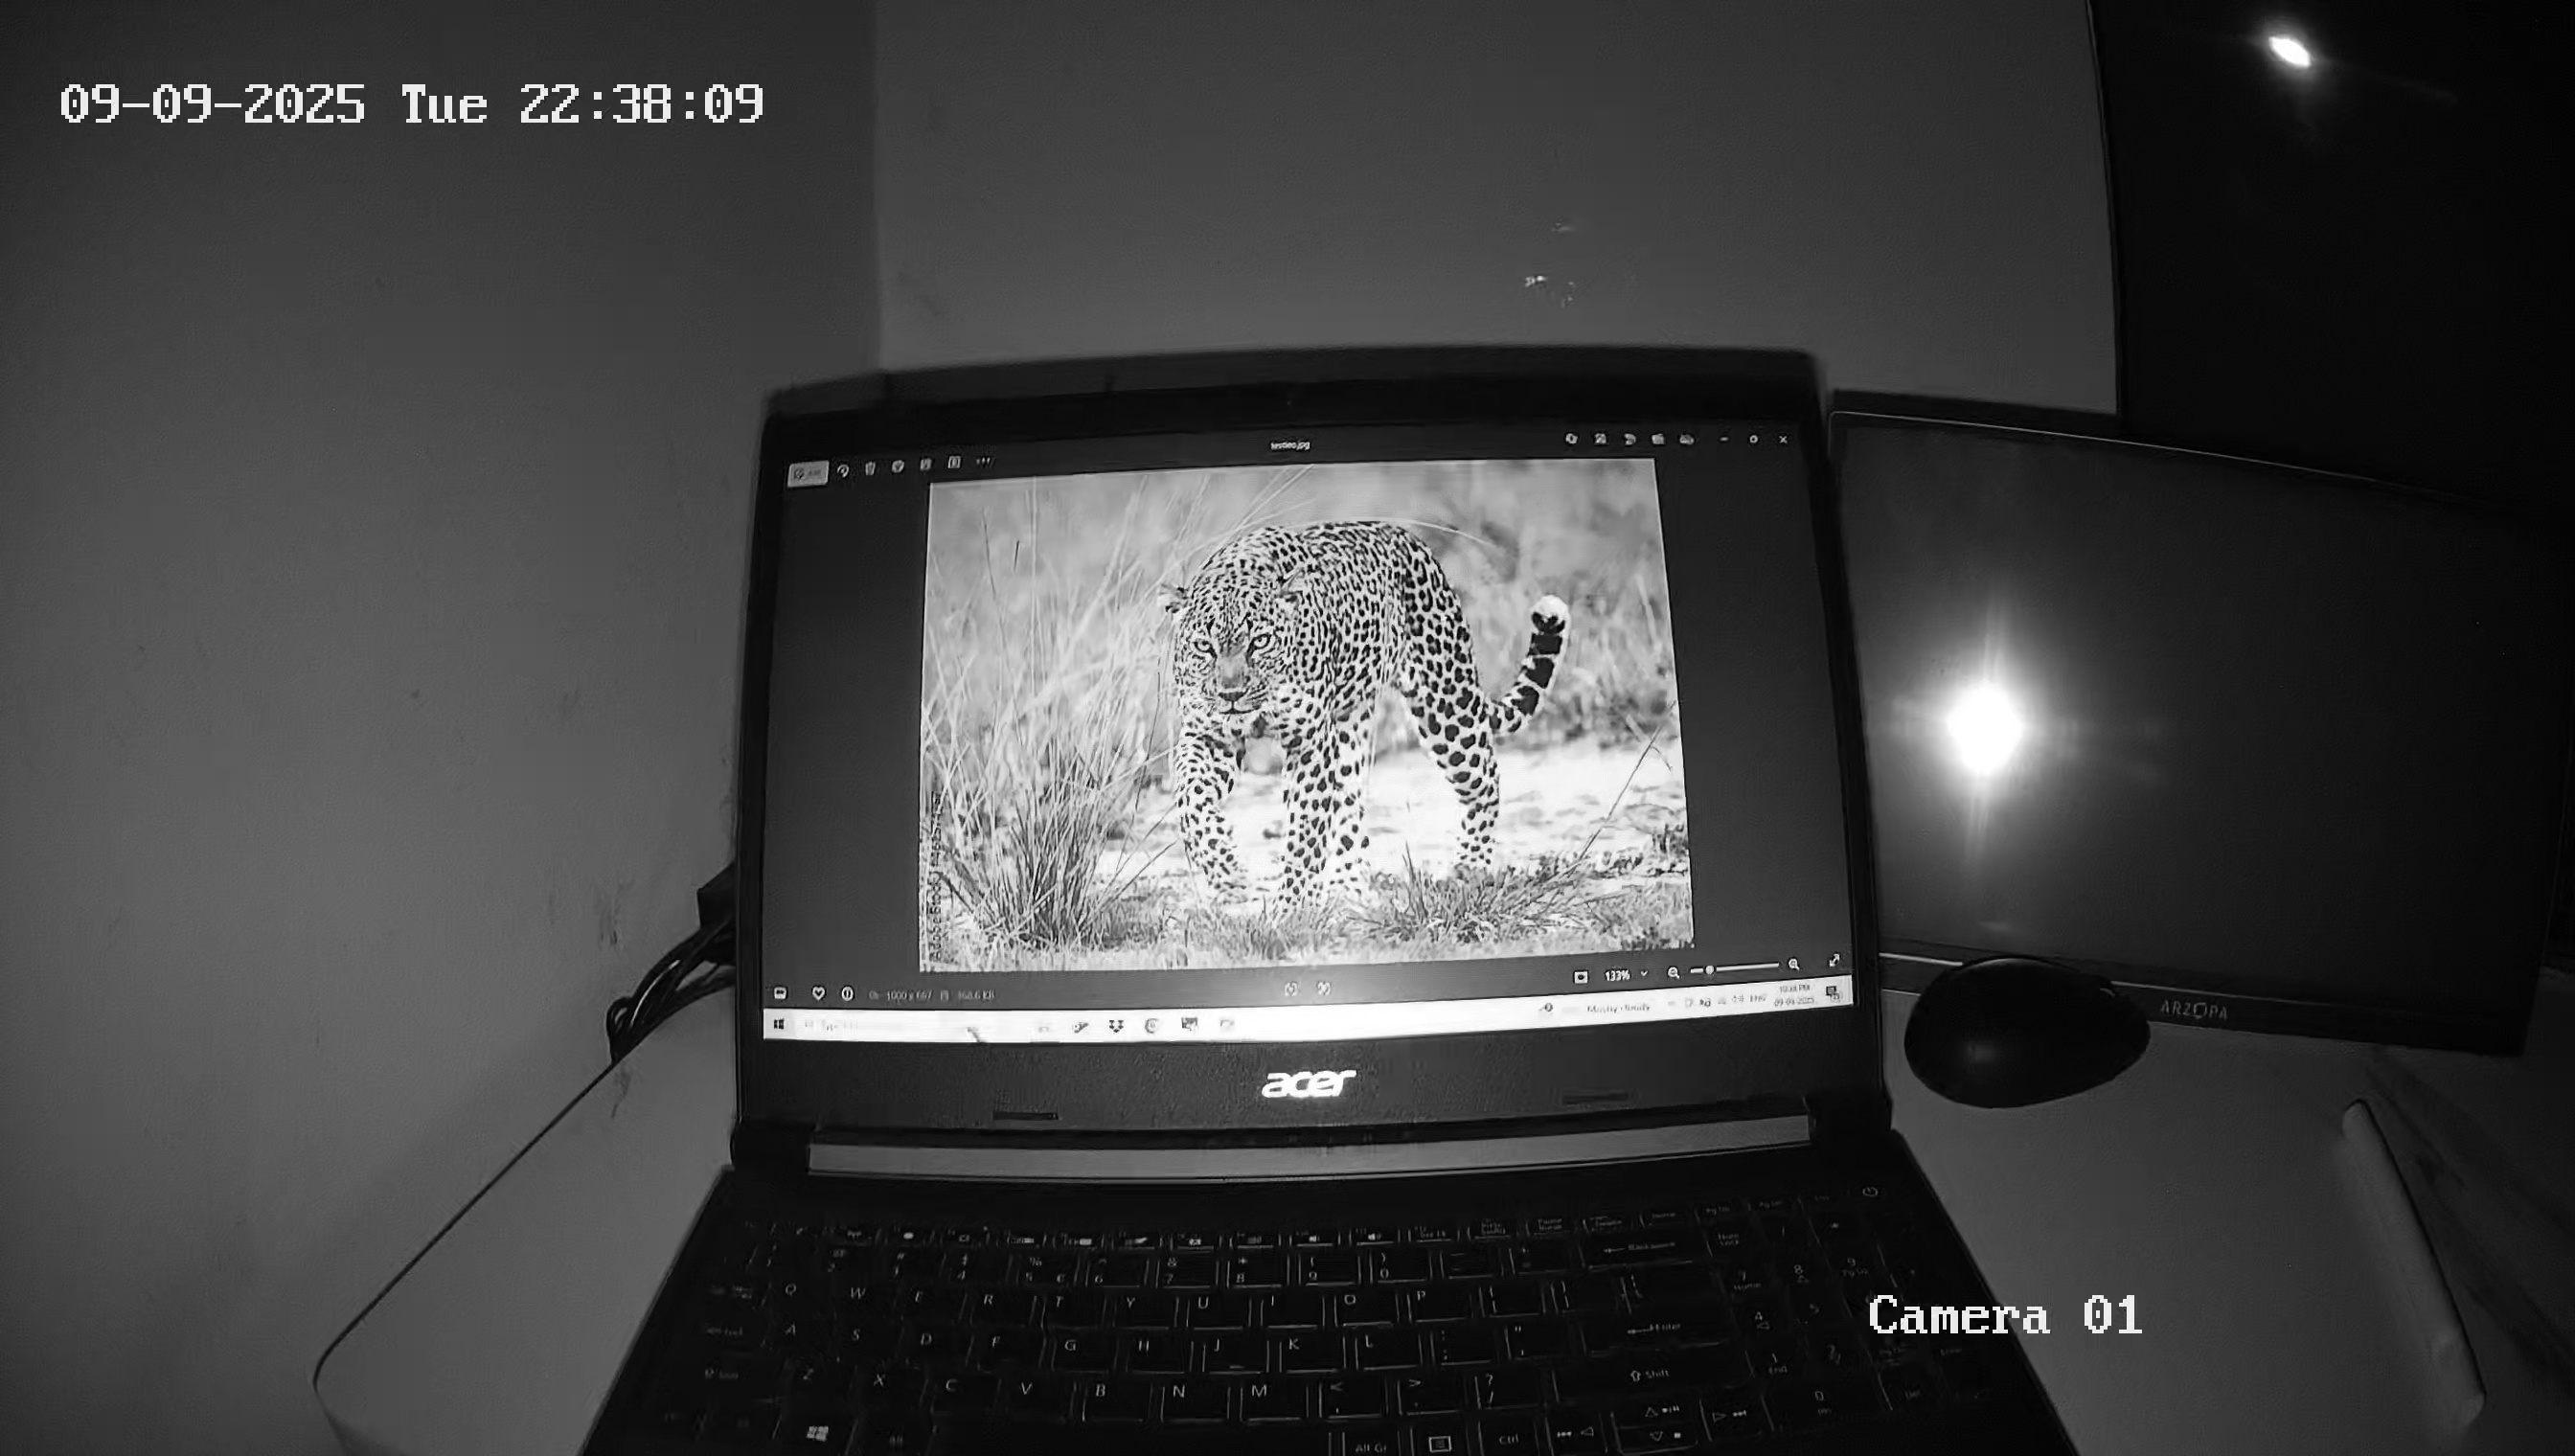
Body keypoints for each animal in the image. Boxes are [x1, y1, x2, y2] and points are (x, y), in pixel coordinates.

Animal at [1156, 520, 1570, 902]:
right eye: (1204, 646)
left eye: (1260, 642)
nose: (1231, 694)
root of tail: (1407, 537)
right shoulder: (1209, 736)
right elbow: (1189, 798)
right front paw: (1226, 873)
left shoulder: (1309, 743)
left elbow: (1305, 832)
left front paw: (1291, 908)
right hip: (1351, 727)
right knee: (1351, 807)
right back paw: (1347, 887)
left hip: (1446, 707)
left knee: (1485, 781)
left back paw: (1469, 867)